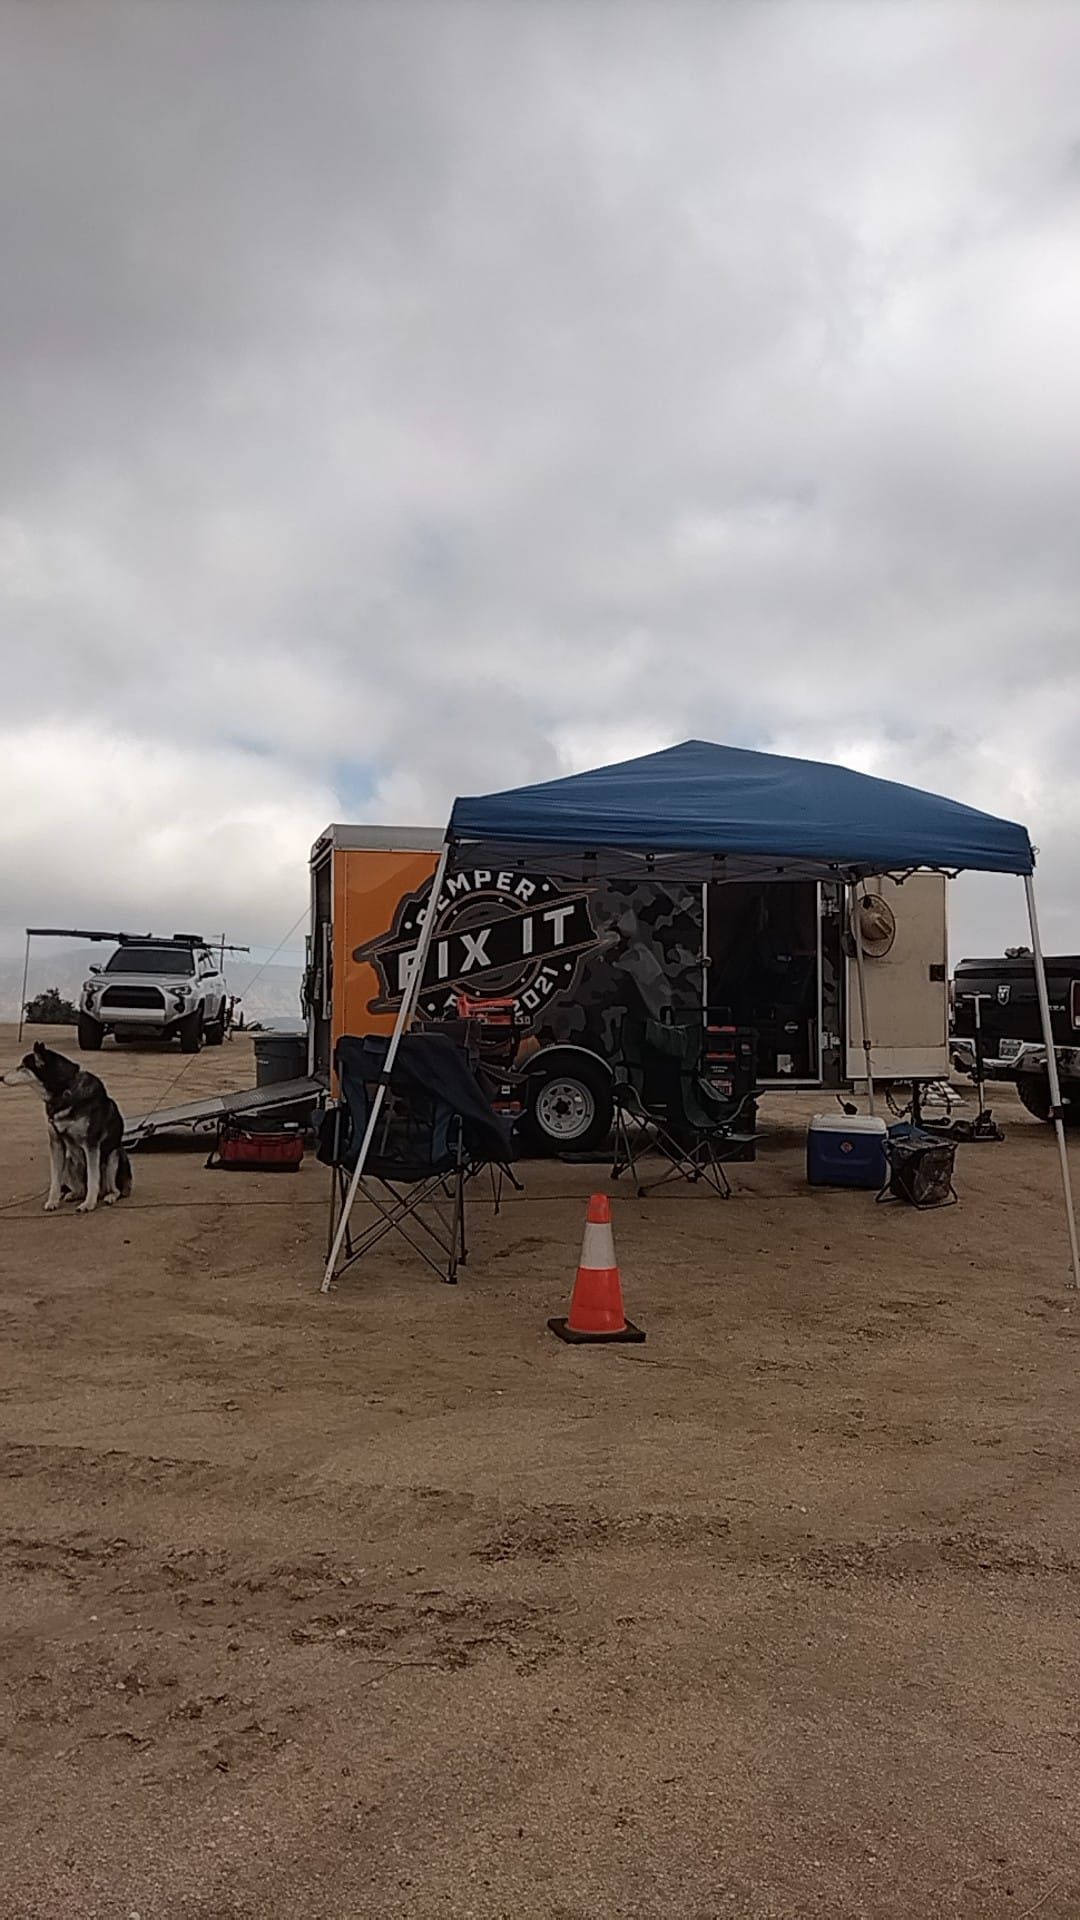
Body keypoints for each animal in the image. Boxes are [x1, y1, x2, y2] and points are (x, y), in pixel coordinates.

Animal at [1, 1042, 132, 1213]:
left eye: (22, 1066)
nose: (1, 1077)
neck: (63, 1089)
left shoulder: (91, 1145)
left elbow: (93, 1179)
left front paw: (88, 1204)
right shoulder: (56, 1143)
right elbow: (56, 1180)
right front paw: (52, 1201)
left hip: (113, 1157)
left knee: (114, 1189)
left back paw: (109, 1196)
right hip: (70, 1159)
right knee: (81, 1188)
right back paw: (73, 1194)